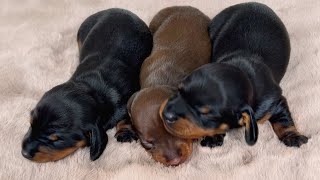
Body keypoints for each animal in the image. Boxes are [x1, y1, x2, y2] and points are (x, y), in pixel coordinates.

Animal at [21, 8, 152, 163]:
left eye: (56, 139)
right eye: (31, 123)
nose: (24, 153)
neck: (91, 90)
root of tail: (115, 9)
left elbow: (126, 116)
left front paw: (125, 133)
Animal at [161, 2, 308, 148]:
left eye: (205, 113)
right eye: (178, 91)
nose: (165, 114)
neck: (245, 74)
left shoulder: (274, 101)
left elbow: (284, 119)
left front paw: (293, 137)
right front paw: (213, 137)